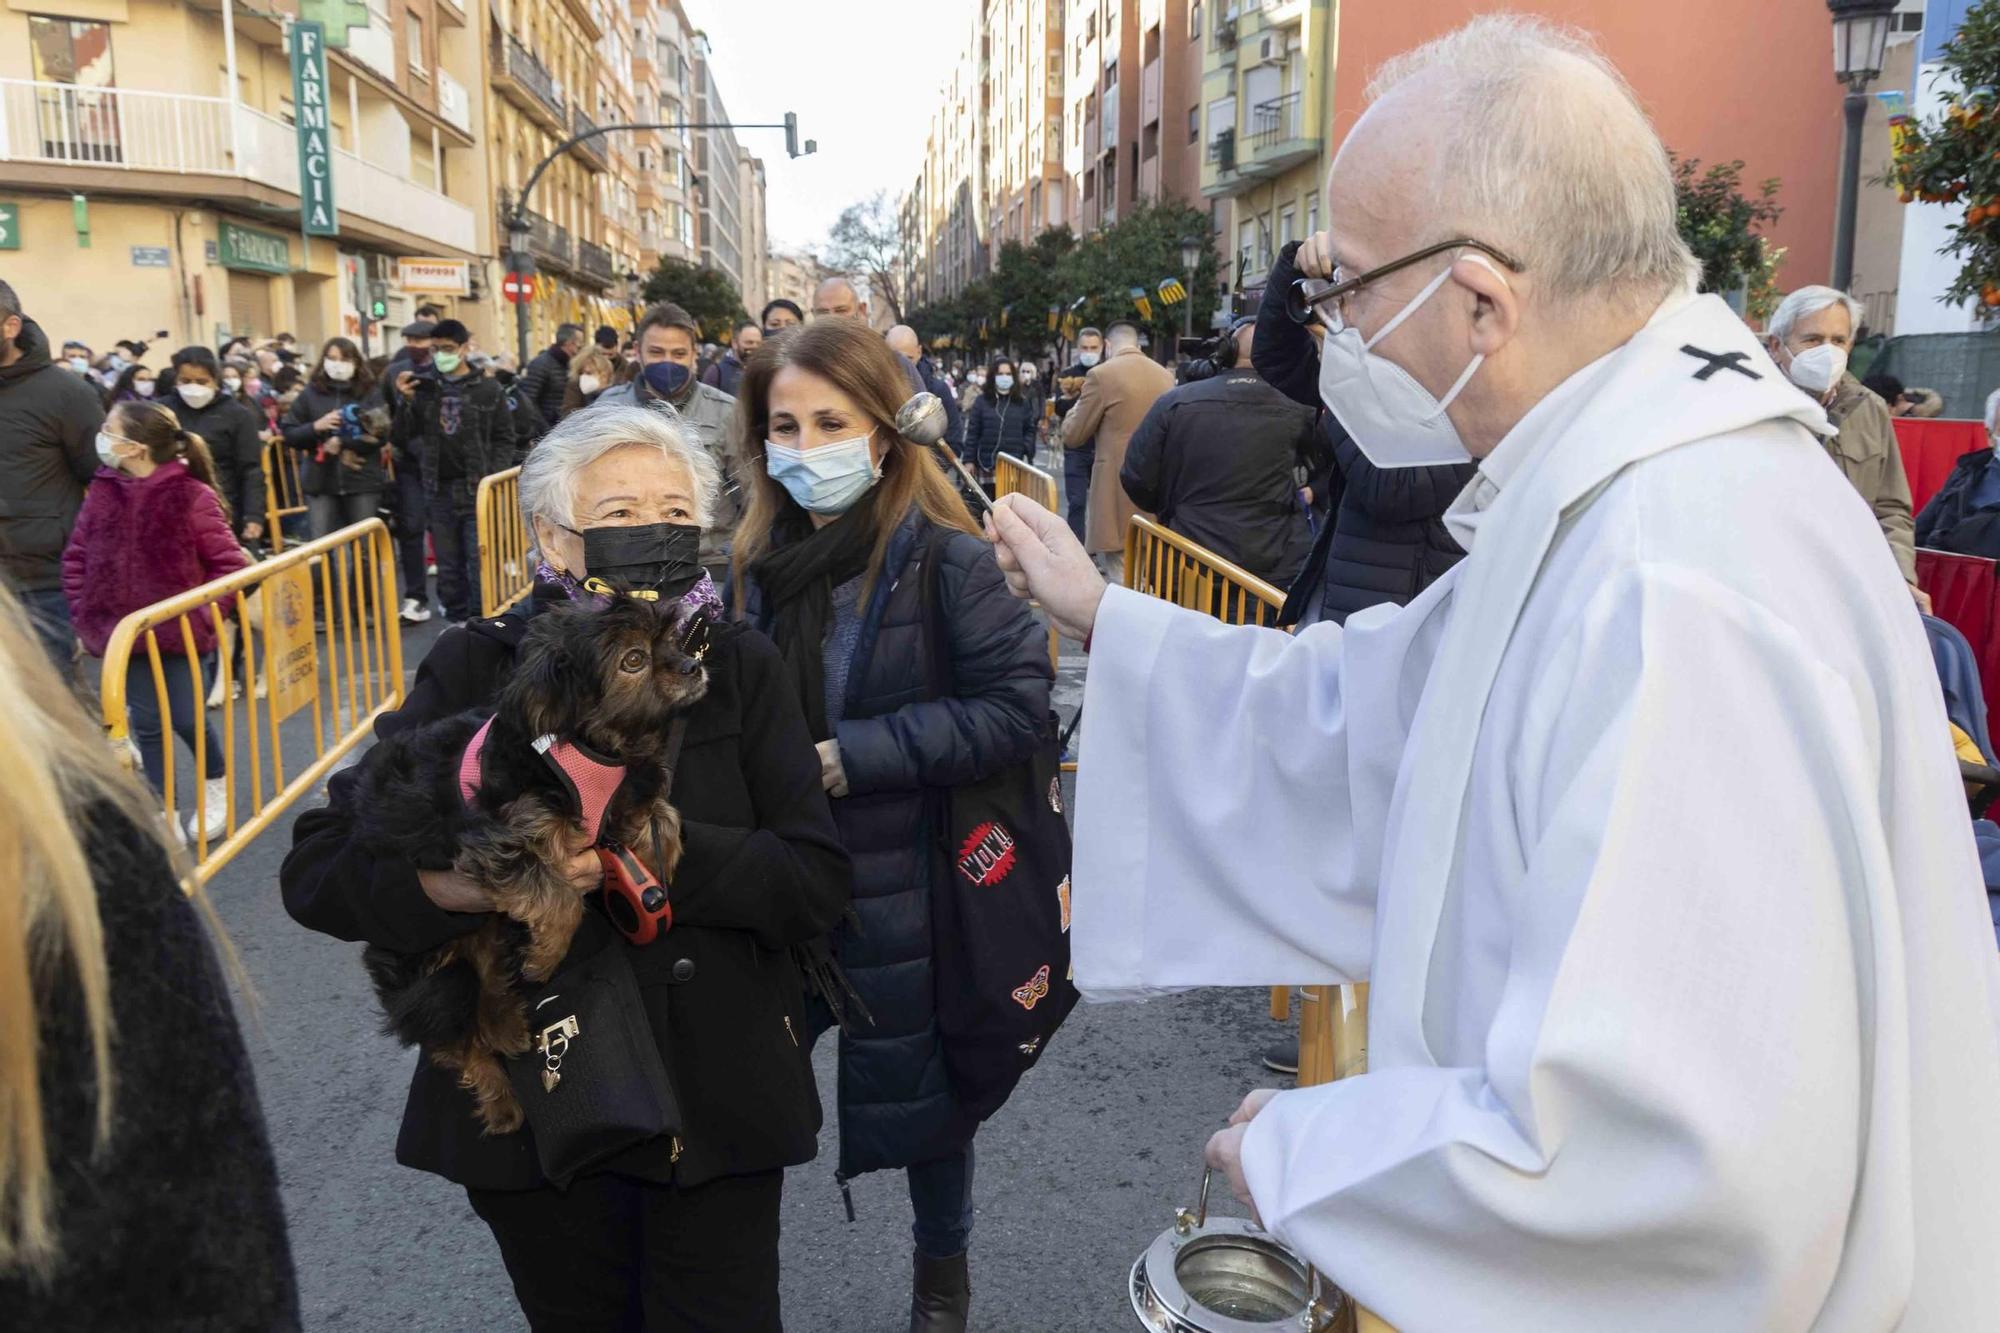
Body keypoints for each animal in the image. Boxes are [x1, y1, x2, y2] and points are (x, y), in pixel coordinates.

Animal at [352, 596, 712, 1128]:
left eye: (671, 640)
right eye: (633, 659)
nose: (693, 666)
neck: (591, 750)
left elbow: (662, 817)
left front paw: (654, 849)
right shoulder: (498, 842)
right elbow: (560, 897)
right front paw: (548, 955)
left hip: (484, 934)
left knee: (491, 984)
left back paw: (506, 1024)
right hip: (433, 971)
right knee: (455, 1040)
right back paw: (501, 1100)